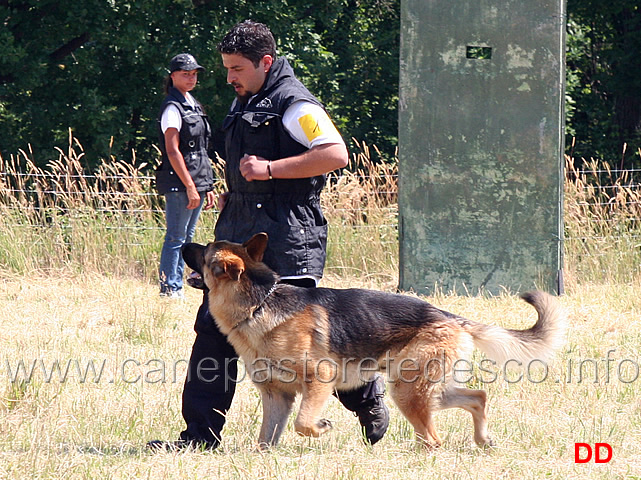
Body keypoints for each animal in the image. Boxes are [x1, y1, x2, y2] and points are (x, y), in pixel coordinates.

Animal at [180, 232, 564, 450]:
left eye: (204, 251)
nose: (182, 243)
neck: (260, 302)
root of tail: (452, 317)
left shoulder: (319, 381)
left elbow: (304, 423)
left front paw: (321, 427)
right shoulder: (277, 396)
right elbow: (265, 439)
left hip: (408, 391)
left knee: (434, 438)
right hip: (423, 389)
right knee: (477, 398)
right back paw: (483, 441)